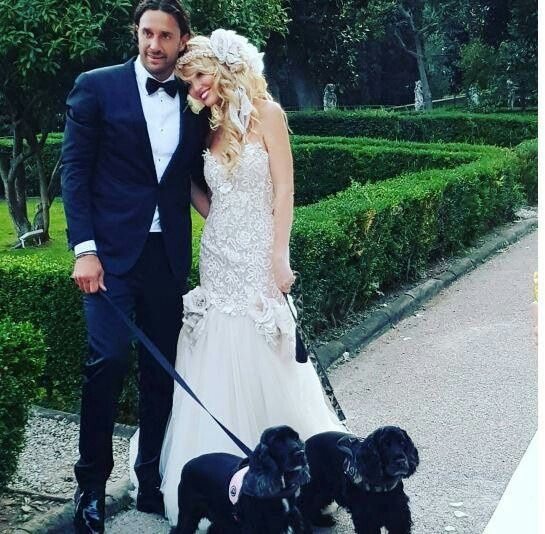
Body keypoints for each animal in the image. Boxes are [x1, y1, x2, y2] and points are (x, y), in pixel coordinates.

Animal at [173, 425, 311, 533]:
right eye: (277, 441)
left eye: (295, 437)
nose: (301, 453)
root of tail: (186, 465)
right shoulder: (257, 526)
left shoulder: (292, 517)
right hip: (188, 514)